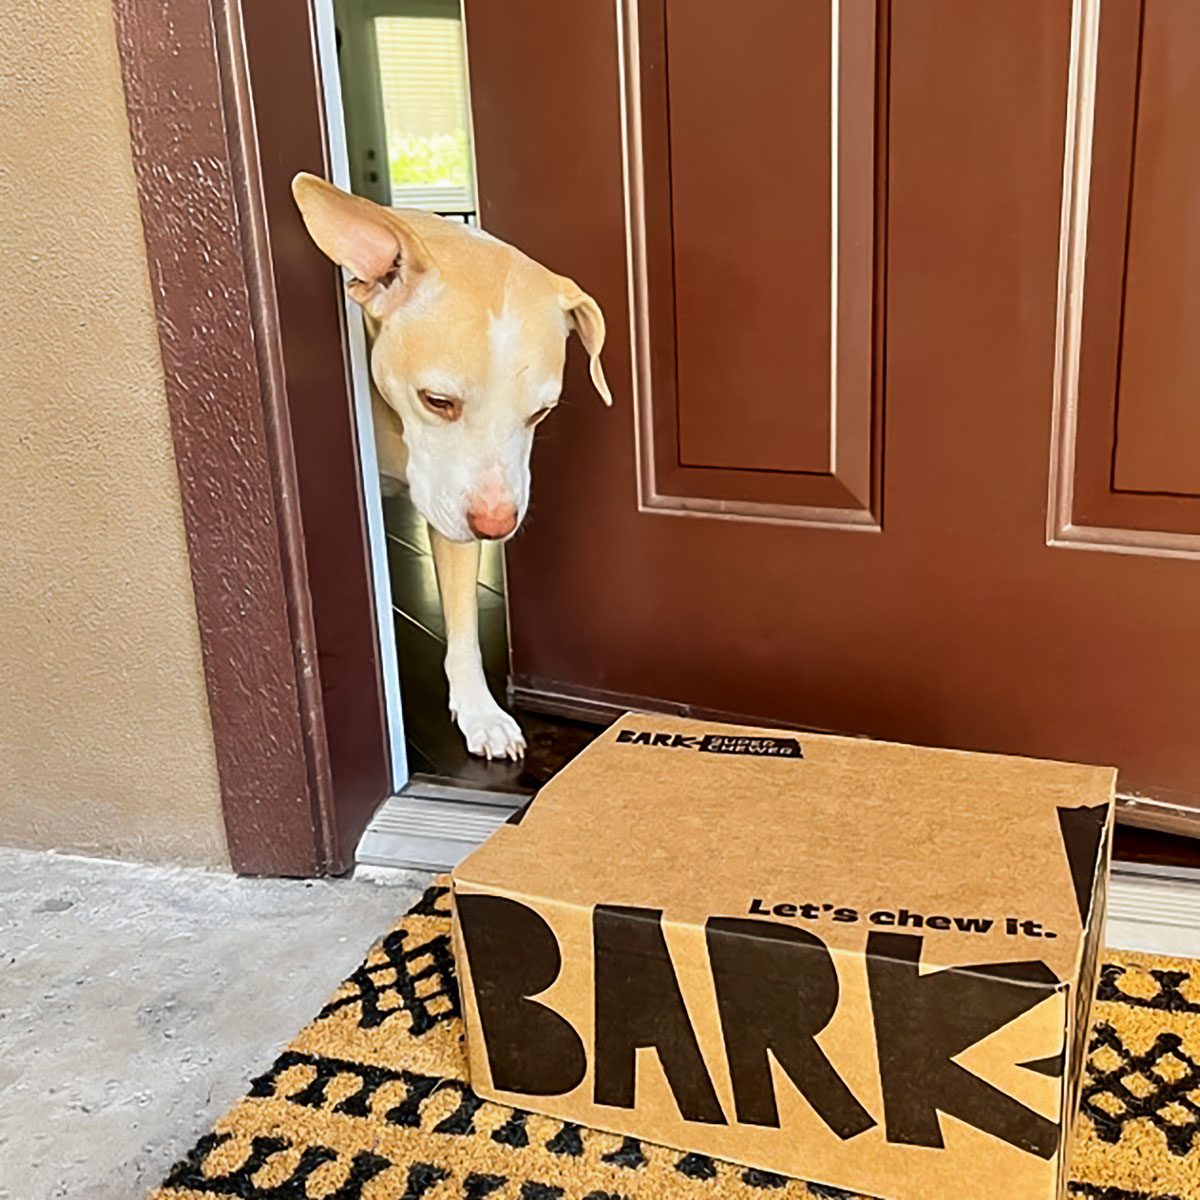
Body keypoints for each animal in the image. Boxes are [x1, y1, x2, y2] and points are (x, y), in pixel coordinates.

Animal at [290, 172, 609, 758]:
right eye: (437, 401)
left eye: (542, 411)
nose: (496, 525)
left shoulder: (457, 512)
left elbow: (462, 622)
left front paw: (480, 712)